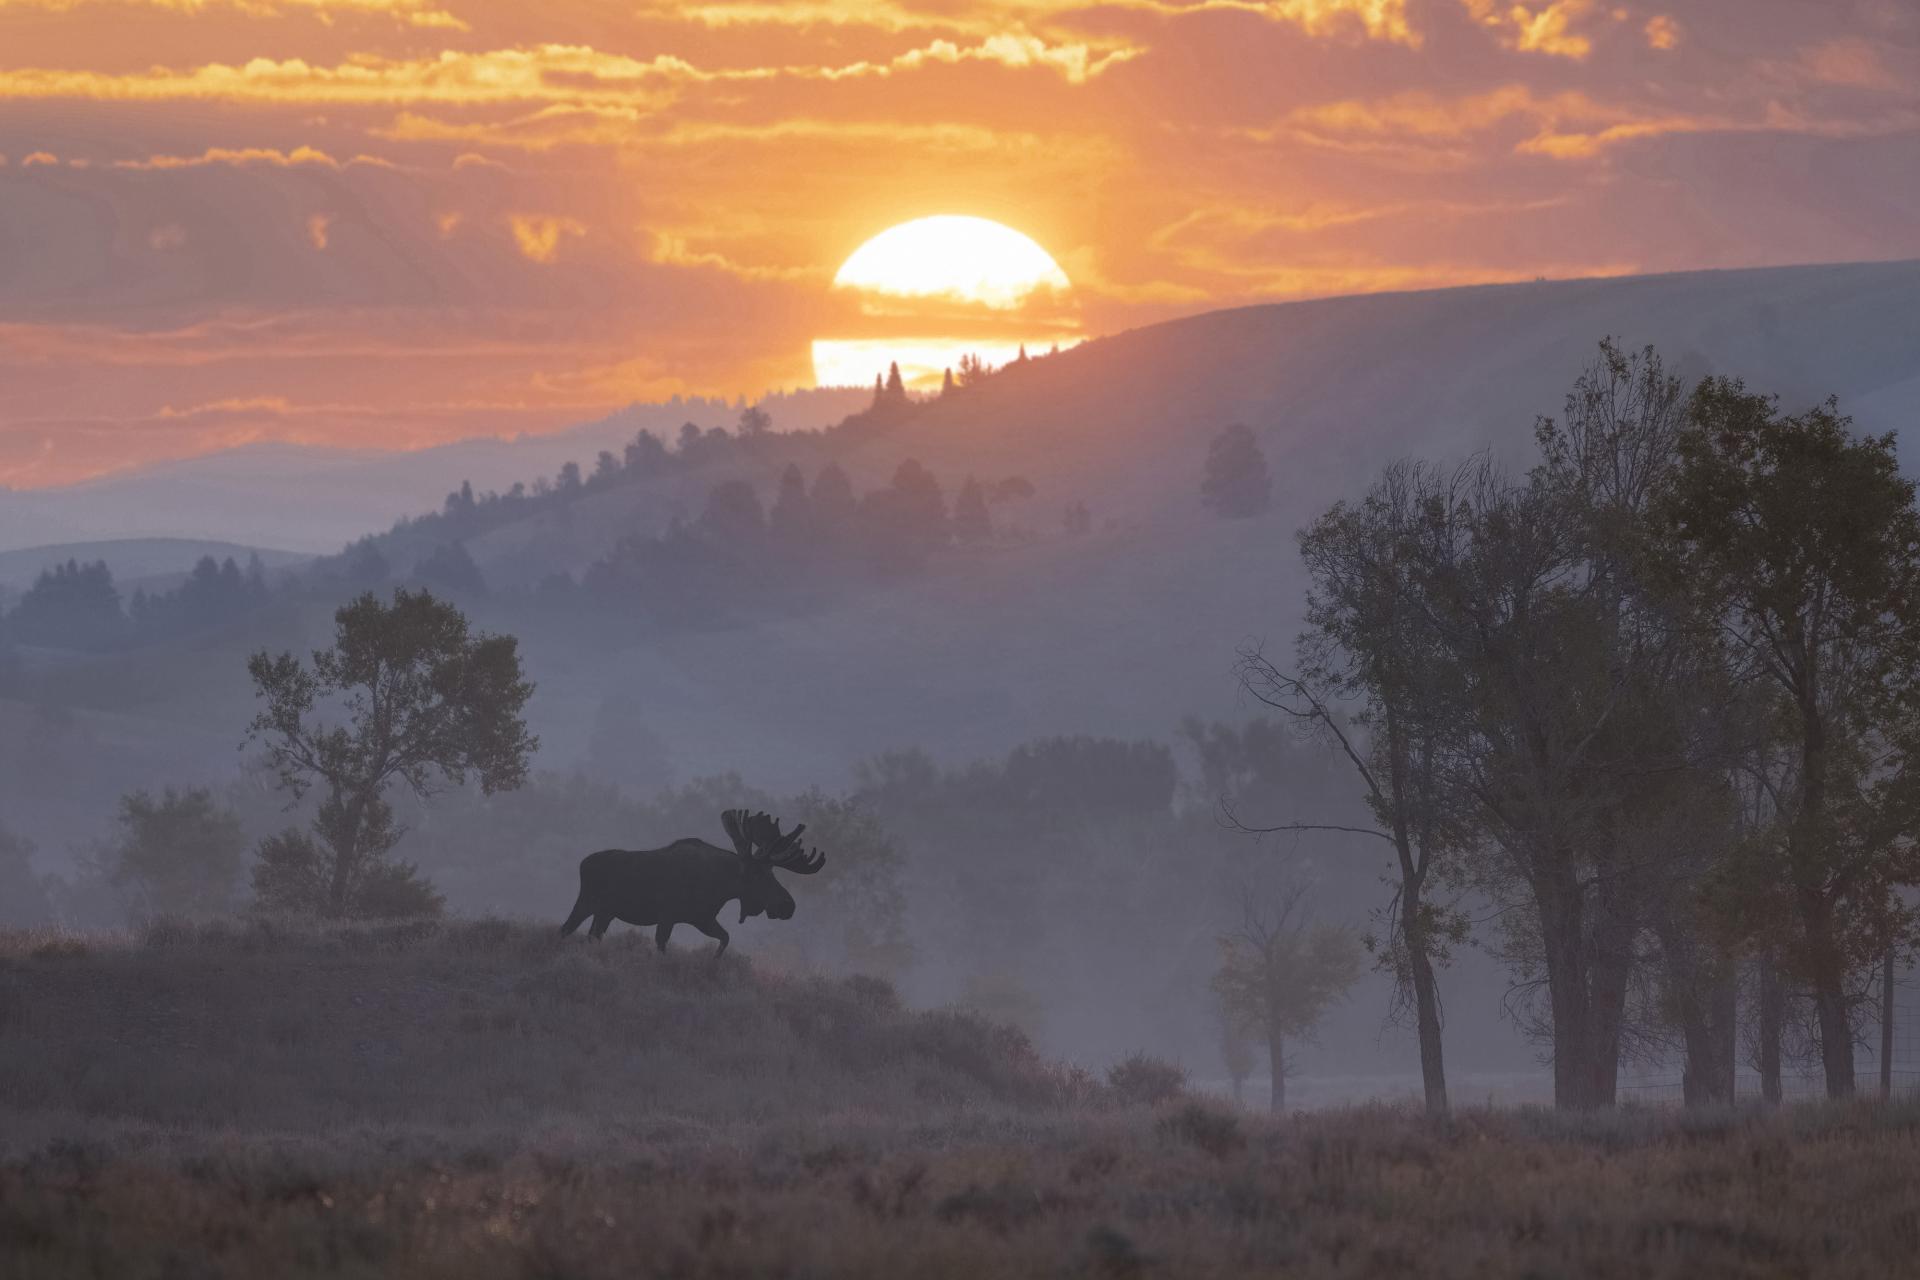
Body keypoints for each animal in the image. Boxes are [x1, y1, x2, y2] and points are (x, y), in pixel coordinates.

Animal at [560, 805, 821, 955]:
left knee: (592, 935)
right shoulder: (667, 916)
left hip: (606, 912)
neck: (720, 885)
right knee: (566, 929)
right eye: (758, 874)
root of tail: (583, 863)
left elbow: (725, 939)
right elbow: (661, 947)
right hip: (586, 903)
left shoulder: (702, 919)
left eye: (773, 873)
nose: (788, 905)